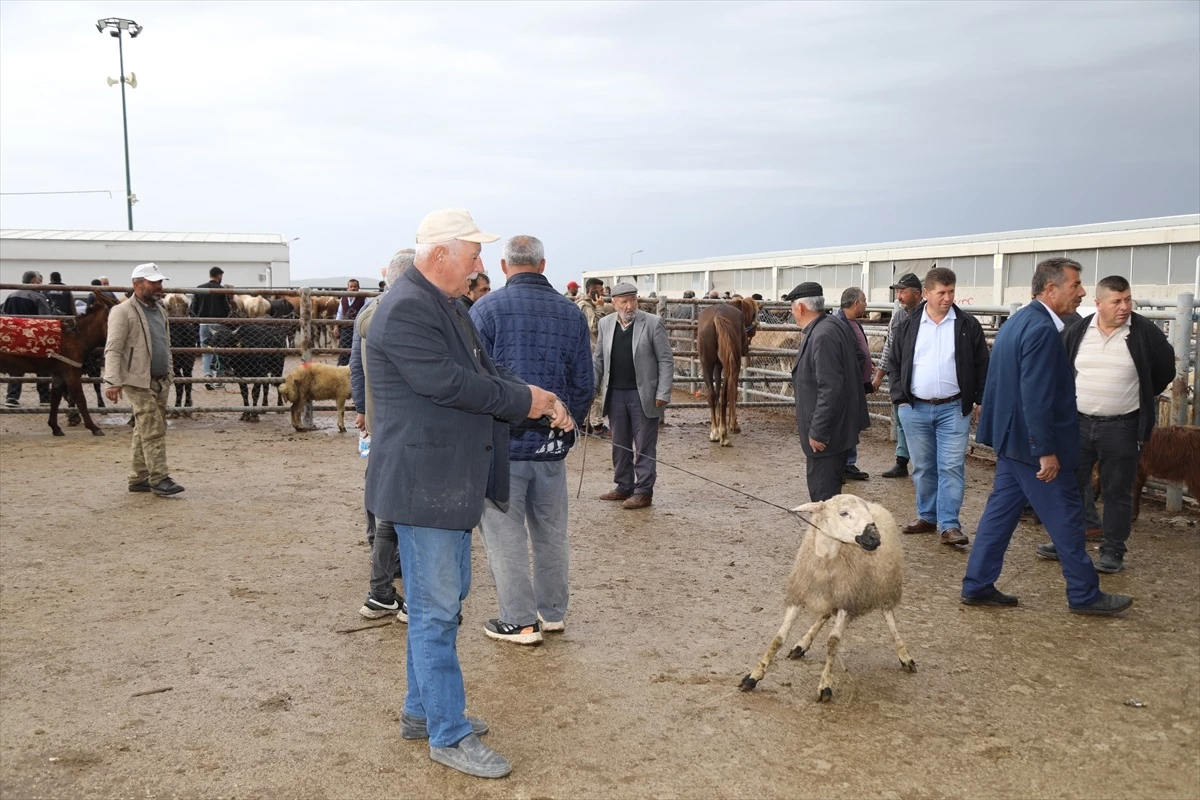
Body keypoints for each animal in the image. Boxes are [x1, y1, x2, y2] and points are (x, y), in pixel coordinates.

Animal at [0, 291, 119, 434]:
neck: (76, 336)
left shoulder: (59, 374)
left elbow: (56, 399)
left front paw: (55, 427)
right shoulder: (71, 371)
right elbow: (80, 398)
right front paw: (93, 427)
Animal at [696, 298, 758, 443]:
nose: (753, 332)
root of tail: (717, 316)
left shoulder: (718, 367)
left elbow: (717, 391)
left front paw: (719, 422)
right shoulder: (735, 366)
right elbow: (733, 392)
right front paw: (733, 424)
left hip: (707, 364)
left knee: (712, 394)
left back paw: (715, 431)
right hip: (730, 365)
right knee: (725, 394)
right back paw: (723, 434)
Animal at [734, 494, 912, 700]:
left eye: (867, 514)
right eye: (843, 513)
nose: (875, 538)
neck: (825, 562)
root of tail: (877, 505)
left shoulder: (846, 600)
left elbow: (833, 642)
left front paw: (825, 684)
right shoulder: (800, 595)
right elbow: (779, 638)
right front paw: (753, 676)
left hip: (885, 587)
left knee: (889, 617)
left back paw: (904, 655)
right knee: (825, 615)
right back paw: (802, 644)